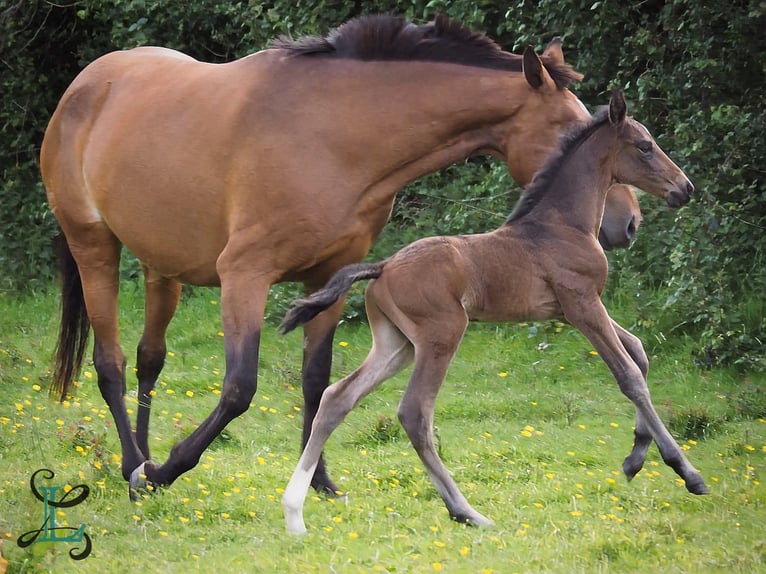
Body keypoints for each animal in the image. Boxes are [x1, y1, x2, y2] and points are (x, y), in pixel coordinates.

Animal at [42, 13, 635, 498]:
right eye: (573, 131)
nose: (625, 223)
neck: (333, 134)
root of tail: (85, 85)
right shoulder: (245, 276)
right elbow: (239, 387)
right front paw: (170, 469)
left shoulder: (327, 277)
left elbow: (316, 380)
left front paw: (319, 481)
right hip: (94, 248)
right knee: (111, 365)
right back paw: (135, 468)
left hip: (161, 266)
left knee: (150, 359)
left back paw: (138, 458)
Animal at [279, 90, 706, 534]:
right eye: (645, 146)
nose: (685, 188)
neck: (563, 225)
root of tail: (383, 266)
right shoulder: (582, 304)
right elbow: (629, 376)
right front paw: (687, 473)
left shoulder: (573, 310)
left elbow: (638, 352)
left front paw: (635, 459)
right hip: (442, 335)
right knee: (414, 413)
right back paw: (466, 511)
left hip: (396, 343)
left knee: (337, 398)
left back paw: (294, 512)